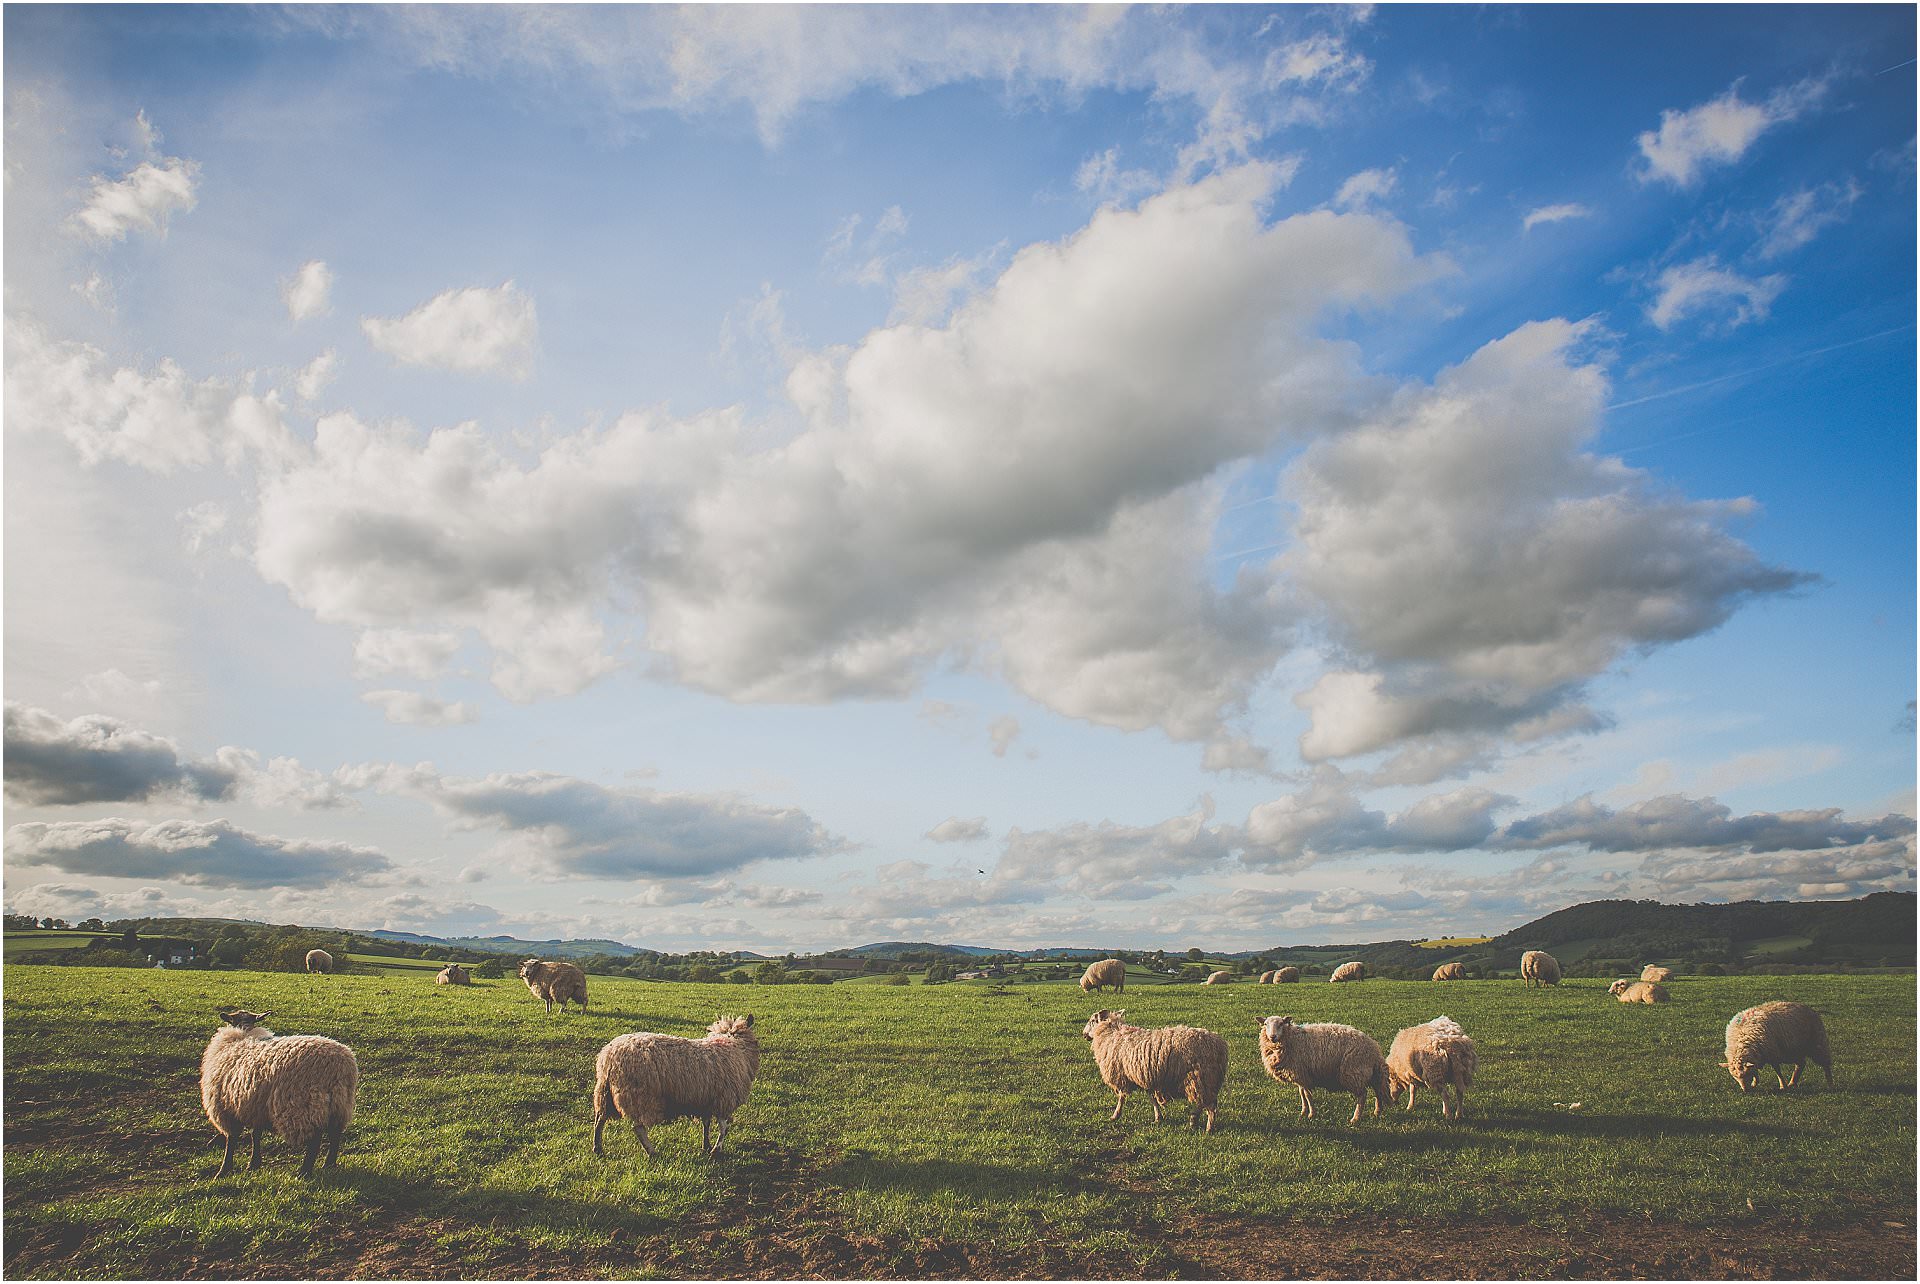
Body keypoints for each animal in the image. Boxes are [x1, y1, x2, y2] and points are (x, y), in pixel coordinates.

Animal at [200, 1005, 359, 1174]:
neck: (244, 1034)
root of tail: (339, 1066)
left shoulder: (226, 1109)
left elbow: (232, 1139)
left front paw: (224, 1169)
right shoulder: (256, 1106)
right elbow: (255, 1135)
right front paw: (254, 1163)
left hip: (303, 1106)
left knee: (314, 1141)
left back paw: (304, 1172)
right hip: (339, 1105)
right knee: (335, 1135)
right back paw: (329, 1164)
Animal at [591, 1013, 756, 1159]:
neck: (735, 1046)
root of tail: (609, 1057)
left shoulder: (706, 1099)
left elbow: (706, 1123)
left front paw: (706, 1145)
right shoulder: (724, 1099)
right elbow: (723, 1128)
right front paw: (716, 1149)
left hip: (604, 1094)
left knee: (599, 1120)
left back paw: (598, 1148)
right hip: (640, 1097)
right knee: (638, 1128)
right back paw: (652, 1151)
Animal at [1082, 1005, 1228, 1128]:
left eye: (1092, 1020)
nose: (1083, 1034)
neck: (1111, 1033)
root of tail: (1219, 1045)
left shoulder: (1122, 1075)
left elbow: (1122, 1097)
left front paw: (1115, 1115)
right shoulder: (1146, 1076)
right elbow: (1152, 1098)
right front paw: (1158, 1117)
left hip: (1200, 1076)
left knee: (1208, 1104)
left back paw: (1205, 1126)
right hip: (1206, 1078)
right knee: (1207, 1101)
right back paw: (1196, 1120)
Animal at [1251, 1013, 1390, 1128]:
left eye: (1281, 1023)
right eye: (1265, 1024)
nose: (1272, 1037)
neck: (1291, 1039)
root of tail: (1374, 1049)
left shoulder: (1304, 1074)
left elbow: (1307, 1095)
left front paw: (1311, 1114)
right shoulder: (1300, 1074)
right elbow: (1302, 1093)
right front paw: (1303, 1111)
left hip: (1353, 1072)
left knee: (1362, 1095)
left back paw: (1355, 1118)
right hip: (1370, 1074)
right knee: (1378, 1091)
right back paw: (1377, 1112)